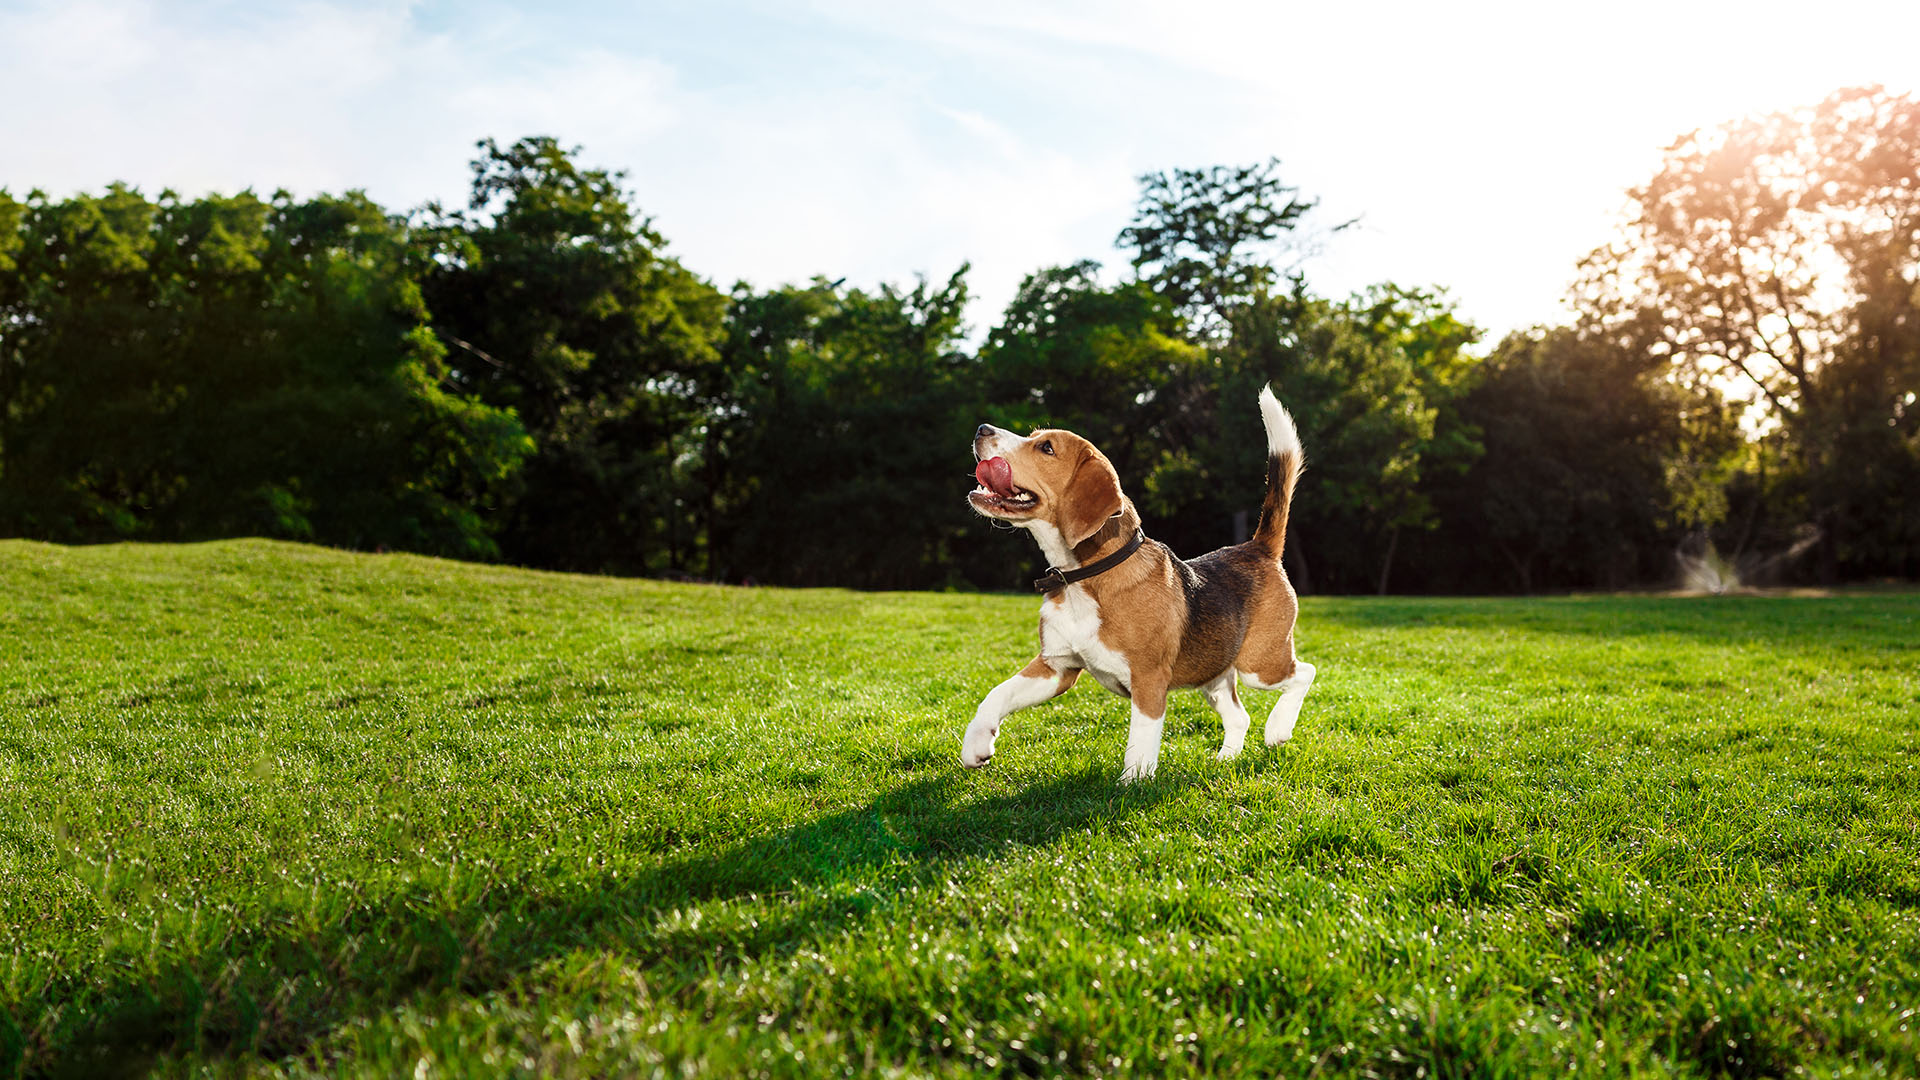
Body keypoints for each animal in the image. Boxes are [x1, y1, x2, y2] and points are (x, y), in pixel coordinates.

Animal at [967, 382, 1313, 776]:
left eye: (1046, 448)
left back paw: (1278, 729)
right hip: (1213, 674)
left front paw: (1132, 785)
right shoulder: (1056, 667)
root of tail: (1257, 547)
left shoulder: (1148, 681)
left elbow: (1140, 745)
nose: (981, 429)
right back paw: (1225, 759)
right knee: (1239, 716)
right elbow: (997, 694)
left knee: (1305, 673)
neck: (1085, 578)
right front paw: (976, 745)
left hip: (1260, 664)